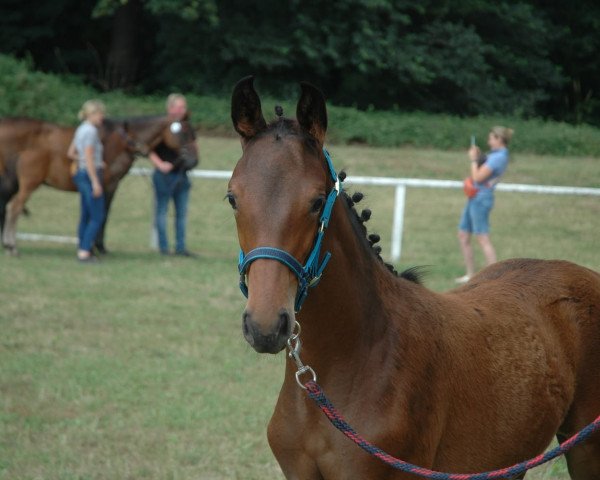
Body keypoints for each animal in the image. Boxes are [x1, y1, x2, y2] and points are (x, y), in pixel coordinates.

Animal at [0, 115, 197, 255]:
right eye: (183, 134)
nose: (193, 161)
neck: (122, 142)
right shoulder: (109, 186)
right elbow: (103, 215)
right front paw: (99, 247)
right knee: (12, 207)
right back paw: (11, 245)